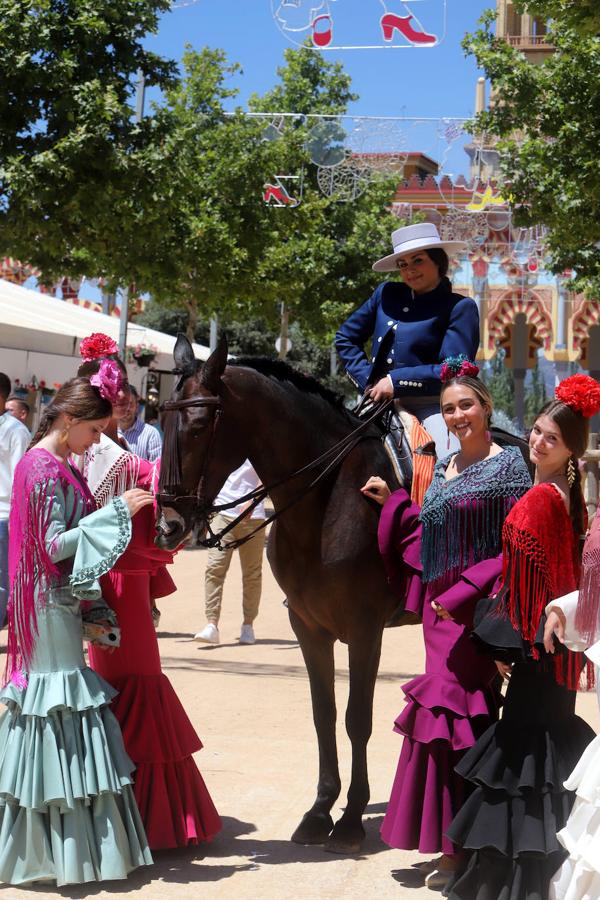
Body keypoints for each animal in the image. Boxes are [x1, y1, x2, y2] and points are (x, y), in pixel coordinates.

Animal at [155, 334, 414, 856]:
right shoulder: (308, 627)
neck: (330, 498)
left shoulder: (365, 629)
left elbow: (357, 717)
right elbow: (324, 714)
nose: (168, 525)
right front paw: (320, 811)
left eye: (199, 427)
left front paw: (350, 819)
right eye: (161, 420)